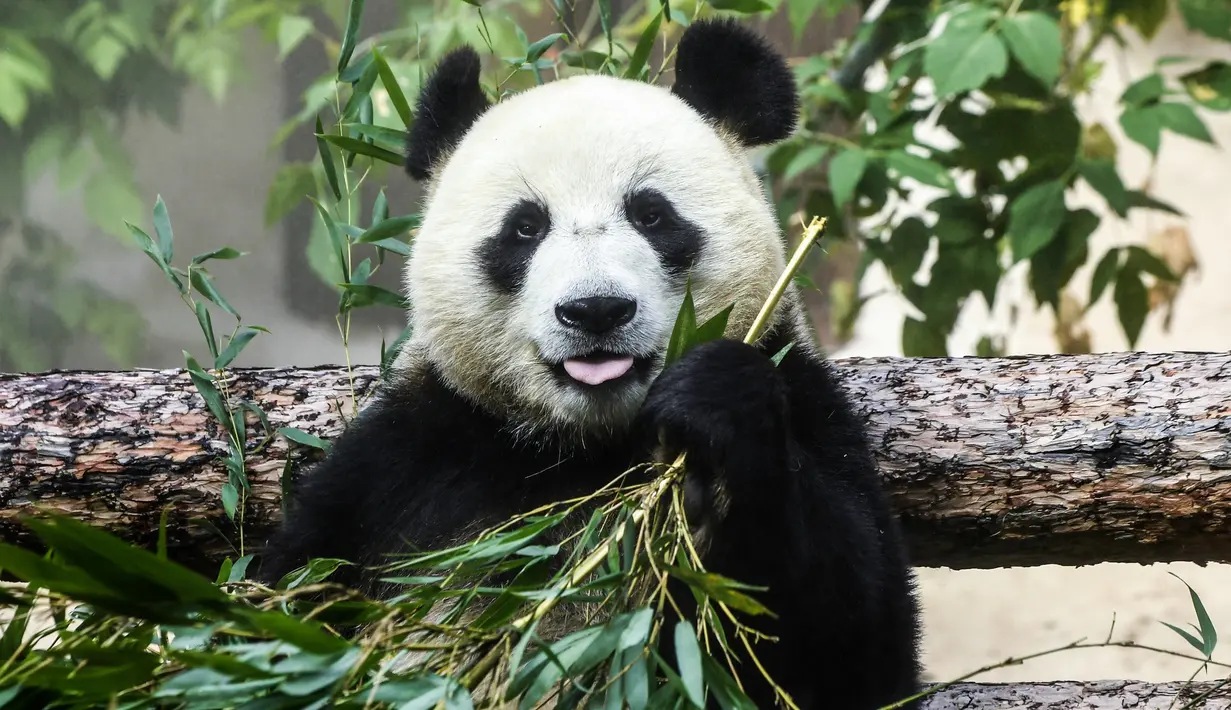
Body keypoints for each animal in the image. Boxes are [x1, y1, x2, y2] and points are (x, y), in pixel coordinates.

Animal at [258, 17, 921, 710]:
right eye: (525, 228)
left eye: (651, 214)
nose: (596, 310)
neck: (585, 445)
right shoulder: (408, 460)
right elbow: (293, 600)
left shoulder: (806, 399)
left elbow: (851, 642)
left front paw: (712, 413)